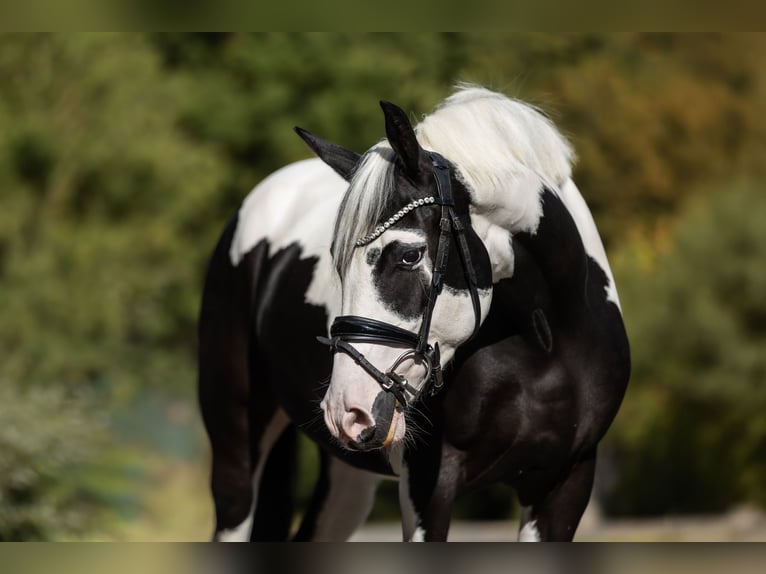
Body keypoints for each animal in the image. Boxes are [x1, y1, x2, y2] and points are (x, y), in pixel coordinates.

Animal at [198, 86, 630, 541]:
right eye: (336, 260)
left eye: (409, 255)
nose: (346, 409)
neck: (543, 343)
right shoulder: (428, 486)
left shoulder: (565, 484)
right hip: (235, 446)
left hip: (349, 477)